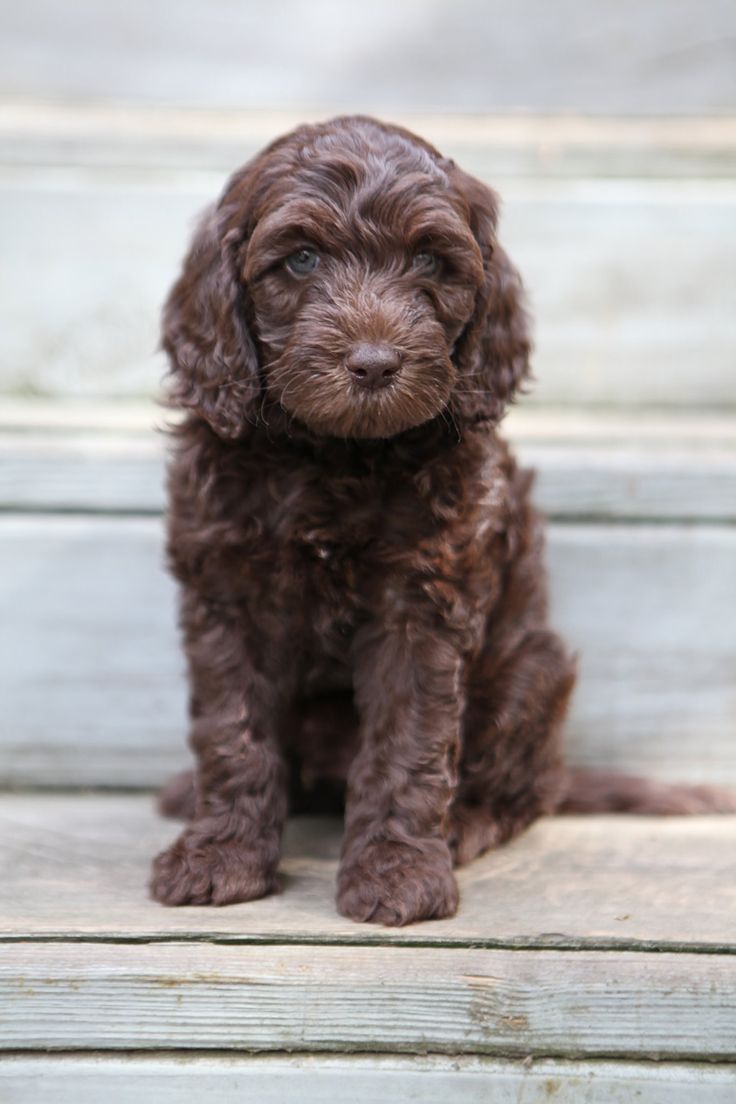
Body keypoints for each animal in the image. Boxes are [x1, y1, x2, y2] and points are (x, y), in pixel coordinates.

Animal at [151, 116, 736, 922]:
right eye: (300, 258)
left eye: (429, 258)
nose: (373, 364)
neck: (333, 455)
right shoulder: (226, 588)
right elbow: (231, 729)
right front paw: (222, 856)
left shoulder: (424, 597)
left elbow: (409, 740)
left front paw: (397, 873)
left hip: (533, 668)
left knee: (525, 791)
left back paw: (465, 826)